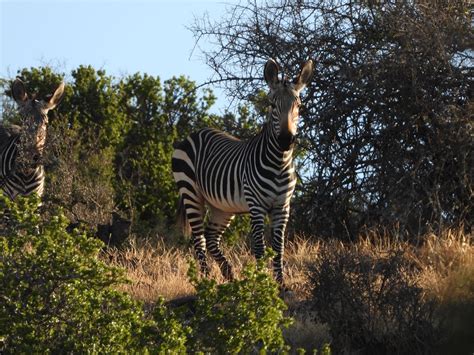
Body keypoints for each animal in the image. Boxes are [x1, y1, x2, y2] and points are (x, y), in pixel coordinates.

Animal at [172, 59, 312, 286]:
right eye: (272, 105)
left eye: (298, 106)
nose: (285, 140)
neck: (279, 163)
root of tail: (194, 133)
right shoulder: (256, 206)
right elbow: (260, 248)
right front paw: (262, 283)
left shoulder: (283, 206)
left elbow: (279, 249)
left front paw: (281, 285)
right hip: (190, 192)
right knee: (199, 238)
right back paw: (205, 281)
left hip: (222, 206)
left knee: (211, 237)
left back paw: (229, 275)